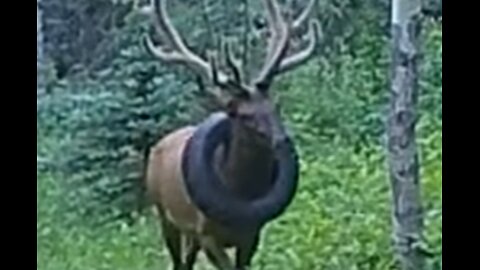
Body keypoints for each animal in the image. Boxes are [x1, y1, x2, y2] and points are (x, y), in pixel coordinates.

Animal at [142, 0, 320, 270]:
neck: (240, 191)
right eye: (244, 115)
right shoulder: (207, 235)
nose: (282, 140)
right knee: (177, 261)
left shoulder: (252, 234)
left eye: (275, 106)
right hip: (164, 214)